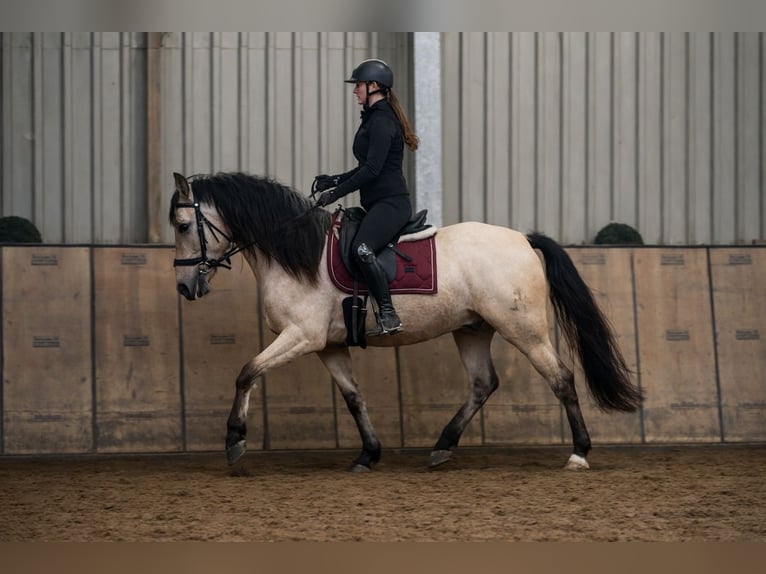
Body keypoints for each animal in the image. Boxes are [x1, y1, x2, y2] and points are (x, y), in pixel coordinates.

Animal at [169, 171, 643, 472]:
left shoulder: (301, 336)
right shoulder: (329, 345)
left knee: (561, 378)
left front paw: (234, 440)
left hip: (523, 329)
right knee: (482, 384)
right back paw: (441, 448)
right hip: (472, 330)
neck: (297, 253)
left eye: (183, 223)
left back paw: (579, 453)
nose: (185, 286)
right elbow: (353, 398)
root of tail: (523, 240)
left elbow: (247, 372)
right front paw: (368, 455)